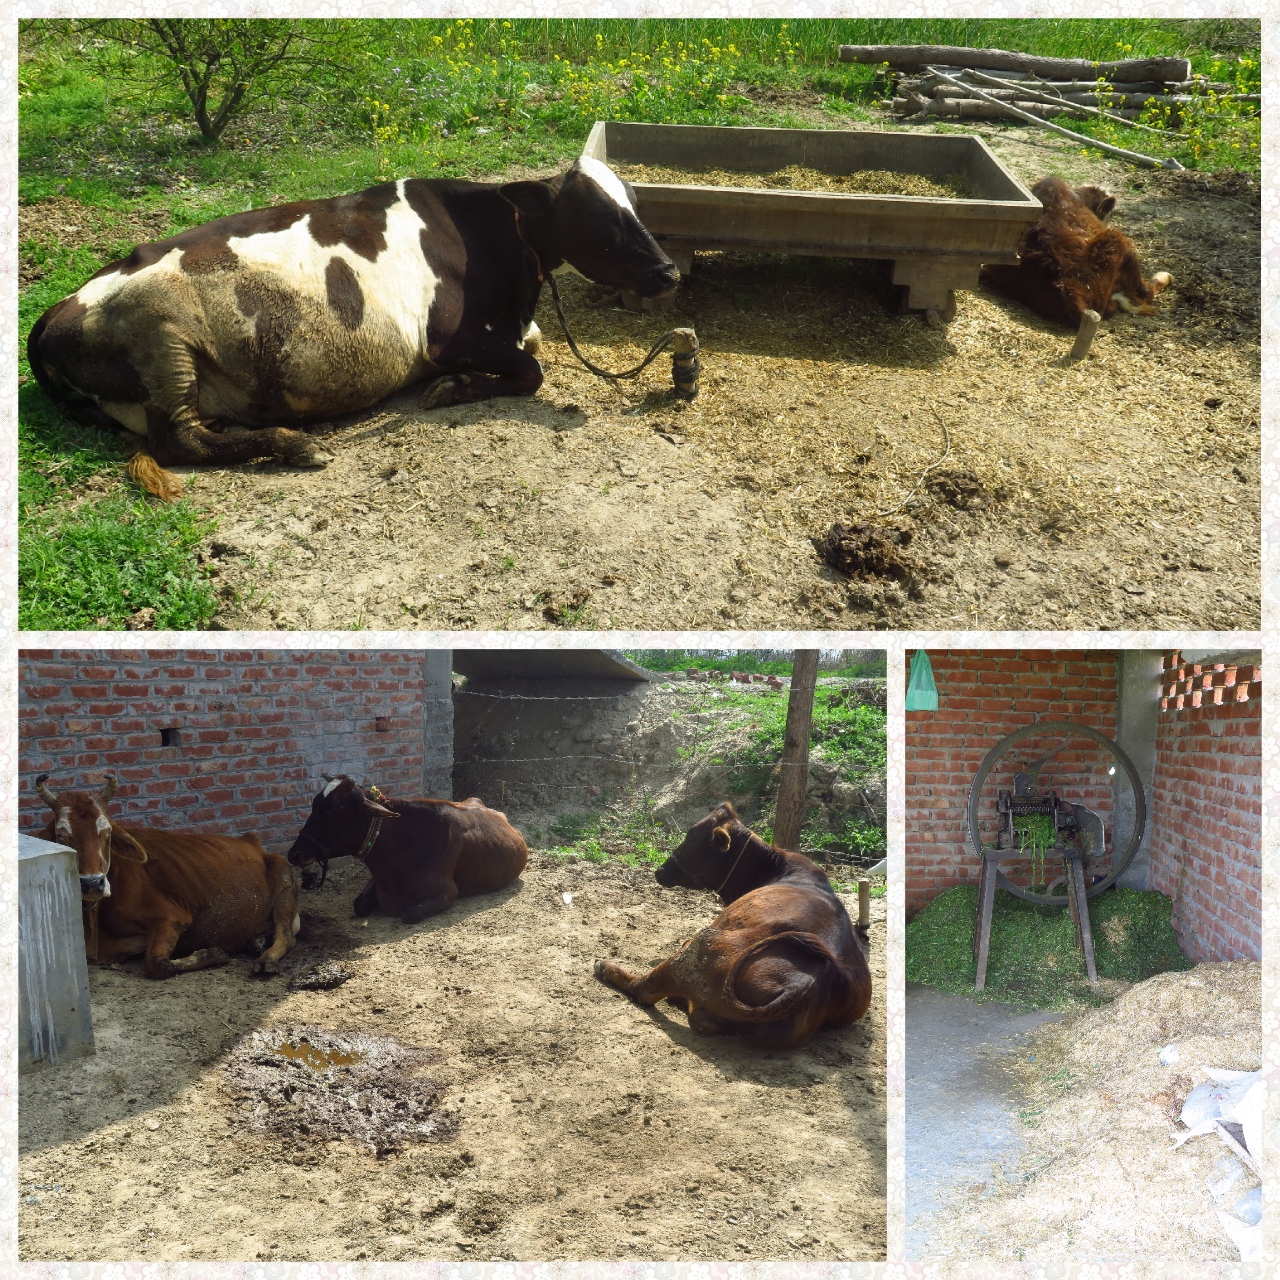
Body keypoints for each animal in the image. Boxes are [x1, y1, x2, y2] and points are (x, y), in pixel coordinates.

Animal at [27, 157, 680, 500]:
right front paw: (454, 389)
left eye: (638, 203)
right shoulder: (444, 338)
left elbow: (536, 343)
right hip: (163, 333)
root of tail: (53, 312)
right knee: (176, 440)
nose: (669, 271)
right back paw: (293, 444)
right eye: (599, 214)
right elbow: (531, 367)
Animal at [31, 773, 301, 979]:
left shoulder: (172, 918)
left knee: (287, 935)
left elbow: (155, 964)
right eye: (61, 835)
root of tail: (252, 841)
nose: (92, 883)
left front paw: (213, 953)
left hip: (285, 884)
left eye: (106, 833)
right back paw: (257, 941)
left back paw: (266, 958)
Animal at [285, 776, 528, 922]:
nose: (294, 854)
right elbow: (359, 904)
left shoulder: (449, 893)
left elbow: (409, 914)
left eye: (333, 808)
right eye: (314, 802)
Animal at [594, 802, 872, 1050]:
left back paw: (606, 967)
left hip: (703, 944)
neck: (775, 868)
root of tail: (809, 982)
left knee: (645, 990)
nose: (660, 871)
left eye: (692, 838)